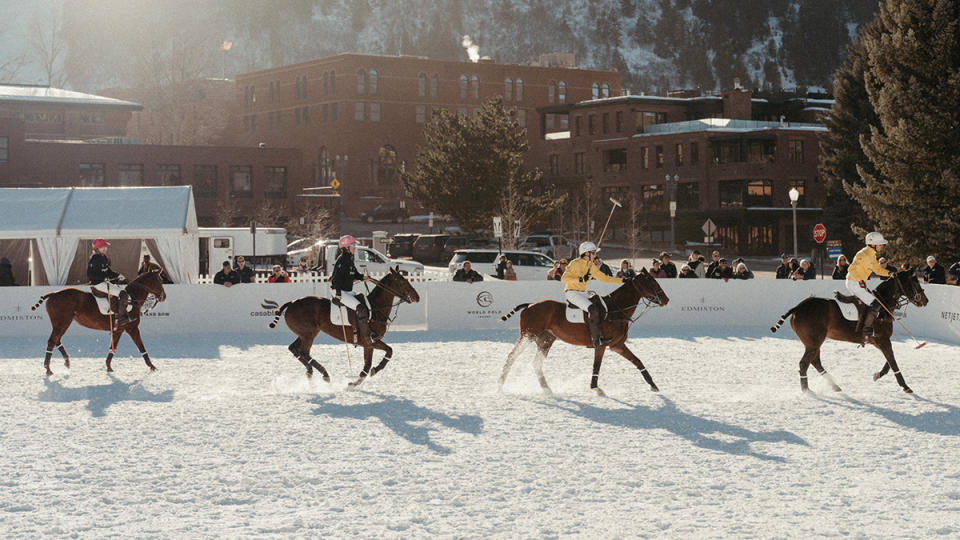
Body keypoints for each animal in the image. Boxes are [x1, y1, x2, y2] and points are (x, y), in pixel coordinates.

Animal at [31, 270, 168, 376]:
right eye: (159, 280)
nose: (163, 297)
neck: (132, 299)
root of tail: (52, 294)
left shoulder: (118, 329)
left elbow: (113, 348)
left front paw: (108, 366)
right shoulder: (132, 328)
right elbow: (141, 347)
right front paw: (152, 366)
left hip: (60, 323)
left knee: (56, 340)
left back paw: (66, 362)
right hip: (62, 322)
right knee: (52, 341)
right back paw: (48, 369)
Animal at [270, 266, 420, 386]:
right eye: (402, 281)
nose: (417, 297)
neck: (376, 308)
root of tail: (291, 302)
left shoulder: (368, 344)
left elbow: (374, 361)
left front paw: (360, 379)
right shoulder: (370, 341)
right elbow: (384, 354)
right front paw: (357, 381)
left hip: (305, 333)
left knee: (294, 348)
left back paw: (310, 371)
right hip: (308, 334)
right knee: (304, 352)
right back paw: (324, 374)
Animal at [496, 270, 668, 396]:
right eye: (651, 282)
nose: (666, 300)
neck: (616, 310)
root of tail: (529, 305)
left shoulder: (617, 345)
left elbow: (638, 361)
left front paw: (653, 385)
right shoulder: (601, 345)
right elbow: (596, 366)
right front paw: (596, 388)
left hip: (546, 339)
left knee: (536, 363)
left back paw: (547, 389)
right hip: (528, 335)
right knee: (512, 357)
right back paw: (500, 387)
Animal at [768, 270, 928, 392]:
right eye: (915, 282)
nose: (925, 301)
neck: (883, 306)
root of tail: (797, 307)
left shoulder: (878, 341)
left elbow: (890, 361)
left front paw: (877, 375)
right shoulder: (882, 339)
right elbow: (893, 361)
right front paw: (906, 386)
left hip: (813, 342)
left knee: (815, 362)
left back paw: (834, 386)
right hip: (814, 341)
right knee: (804, 363)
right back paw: (807, 390)